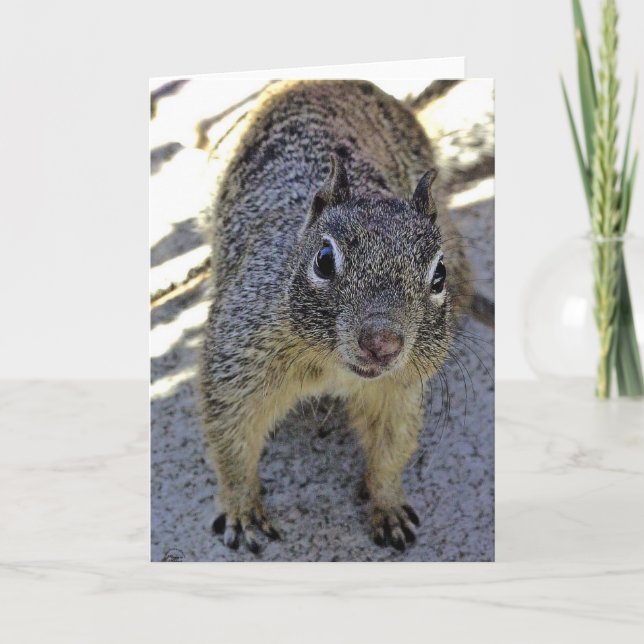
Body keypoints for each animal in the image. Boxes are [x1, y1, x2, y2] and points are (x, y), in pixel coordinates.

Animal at [200, 80, 482, 554]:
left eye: (438, 274)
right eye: (324, 259)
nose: (382, 342)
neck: (333, 367)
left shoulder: (399, 390)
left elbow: (392, 448)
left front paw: (388, 503)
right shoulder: (237, 362)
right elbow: (231, 438)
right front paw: (242, 509)